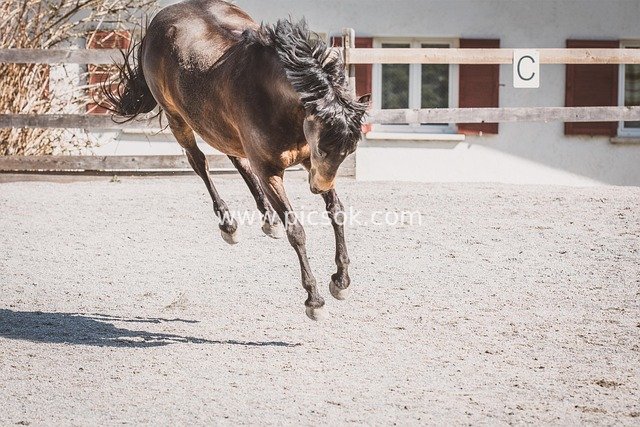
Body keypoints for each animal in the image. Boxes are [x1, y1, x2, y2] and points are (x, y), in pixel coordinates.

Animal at [103, 0, 370, 320]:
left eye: (348, 151)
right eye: (324, 147)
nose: (317, 188)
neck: (274, 96)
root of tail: (160, 19)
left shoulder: (310, 164)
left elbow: (337, 212)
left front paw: (340, 281)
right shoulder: (271, 171)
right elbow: (296, 230)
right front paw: (314, 300)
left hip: (218, 124)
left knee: (236, 159)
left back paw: (268, 220)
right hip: (177, 118)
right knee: (200, 163)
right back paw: (228, 225)